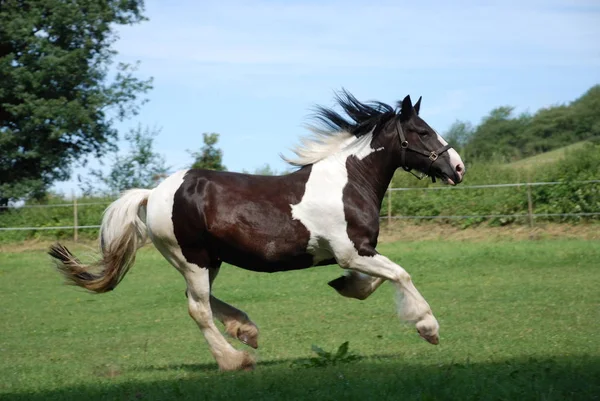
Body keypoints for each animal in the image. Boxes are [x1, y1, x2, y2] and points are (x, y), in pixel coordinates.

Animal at [50, 90, 464, 368]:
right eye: (423, 132)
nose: (458, 168)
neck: (349, 182)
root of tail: (153, 194)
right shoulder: (352, 251)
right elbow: (401, 274)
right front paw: (428, 327)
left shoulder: (355, 253)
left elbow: (376, 280)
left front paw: (346, 286)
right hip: (193, 259)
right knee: (198, 309)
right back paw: (235, 359)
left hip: (209, 261)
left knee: (200, 302)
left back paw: (246, 330)